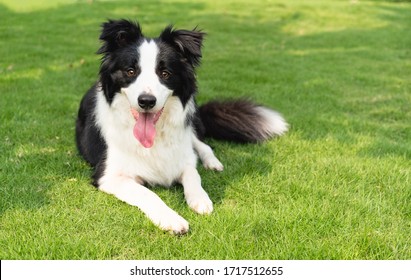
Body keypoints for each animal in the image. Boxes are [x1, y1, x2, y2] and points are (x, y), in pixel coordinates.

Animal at [75, 19, 288, 234]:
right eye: (130, 72)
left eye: (165, 73)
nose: (146, 101)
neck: (154, 138)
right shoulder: (108, 175)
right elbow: (147, 193)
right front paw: (171, 218)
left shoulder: (182, 155)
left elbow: (193, 173)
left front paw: (200, 198)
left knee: (204, 146)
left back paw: (213, 163)